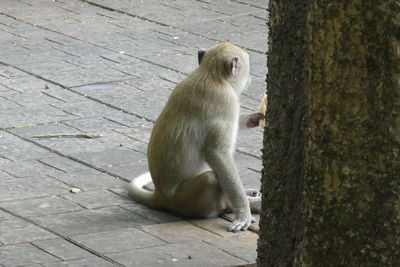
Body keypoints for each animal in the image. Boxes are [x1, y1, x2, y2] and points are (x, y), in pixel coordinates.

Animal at [128, 42, 264, 232]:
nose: (250, 78)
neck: (210, 74)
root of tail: (160, 196)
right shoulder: (226, 102)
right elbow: (218, 154)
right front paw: (243, 212)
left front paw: (254, 119)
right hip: (186, 199)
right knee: (211, 178)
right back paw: (244, 204)